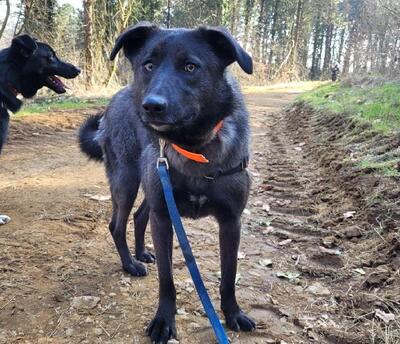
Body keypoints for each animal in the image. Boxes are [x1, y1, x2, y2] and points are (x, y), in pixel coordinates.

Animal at [80, 22, 256, 342]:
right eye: (148, 65)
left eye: (190, 67)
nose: (152, 106)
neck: (194, 146)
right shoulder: (163, 218)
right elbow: (167, 278)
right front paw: (164, 321)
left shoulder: (231, 221)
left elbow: (229, 275)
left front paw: (233, 313)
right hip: (127, 181)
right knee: (117, 225)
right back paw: (130, 264)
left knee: (138, 217)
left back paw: (140, 254)